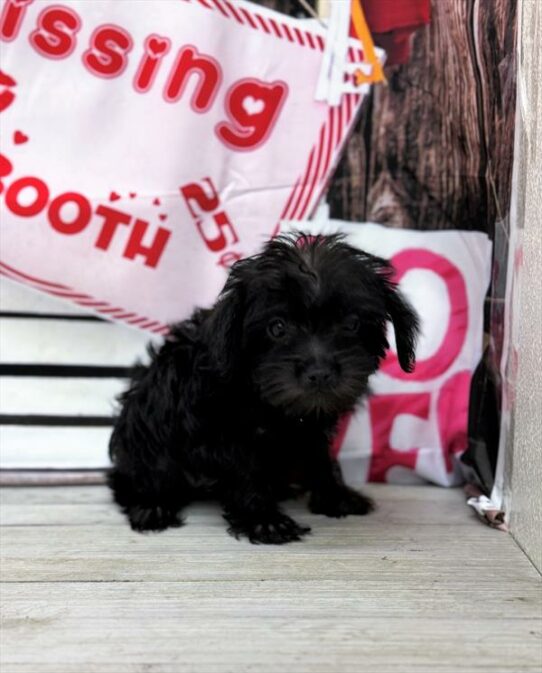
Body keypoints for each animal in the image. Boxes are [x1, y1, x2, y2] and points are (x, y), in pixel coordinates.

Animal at [108, 234, 418, 544]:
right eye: (277, 328)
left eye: (352, 324)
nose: (320, 373)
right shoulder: (222, 430)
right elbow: (245, 470)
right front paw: (264, 520)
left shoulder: (312, 428)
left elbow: (319, 457)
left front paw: (334, 496)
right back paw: (151, 505)